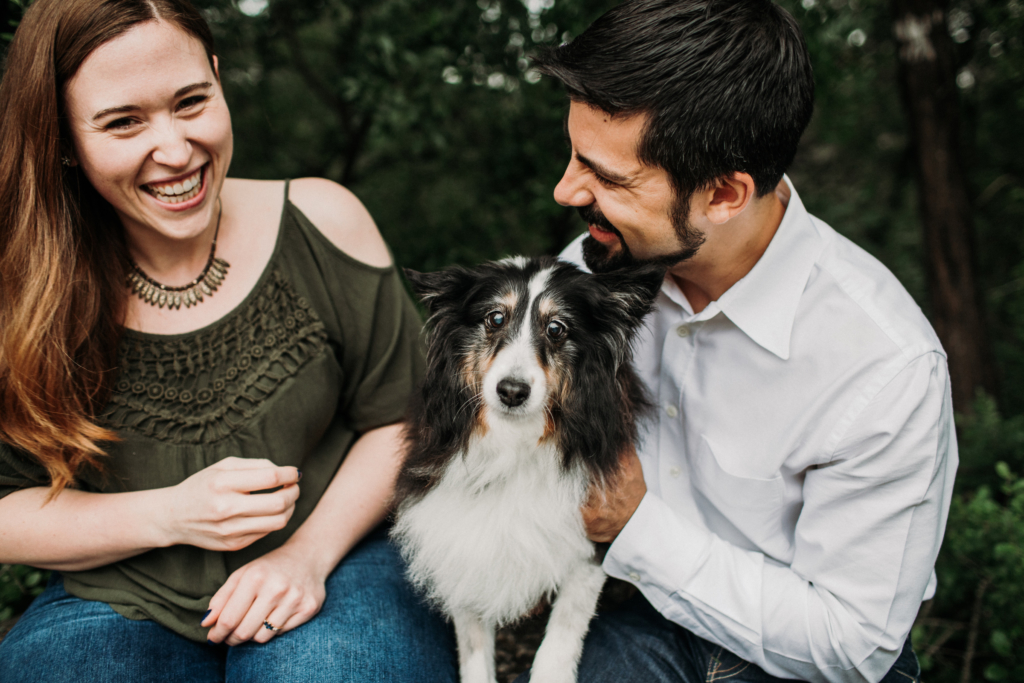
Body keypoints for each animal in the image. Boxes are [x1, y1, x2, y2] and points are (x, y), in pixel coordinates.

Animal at [391, 255, 663, 683]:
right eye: (495, 318)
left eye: (556, 328)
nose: (512, 392)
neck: (515, 443)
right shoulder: (460, 545)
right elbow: (475, 654)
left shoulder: (591, 539)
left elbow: (562, 634)